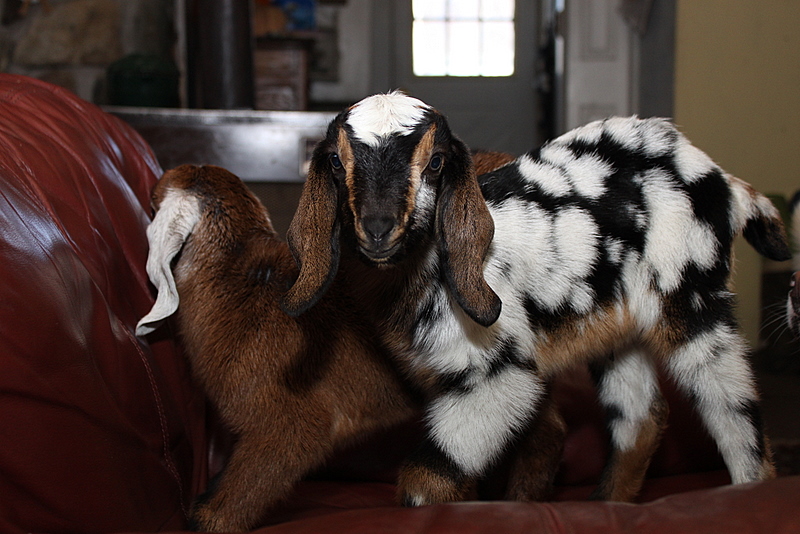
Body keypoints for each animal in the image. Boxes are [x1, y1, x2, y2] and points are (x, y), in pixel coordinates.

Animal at [281, 92, 791, 506]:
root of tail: (726, 183)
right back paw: (605, 505)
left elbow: (427, 479)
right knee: (641, 416)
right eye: (335, 163)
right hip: (613, 325)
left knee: (736, 413)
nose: (378, 228)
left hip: (694, 299)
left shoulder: (500, 372)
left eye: (436, 163)